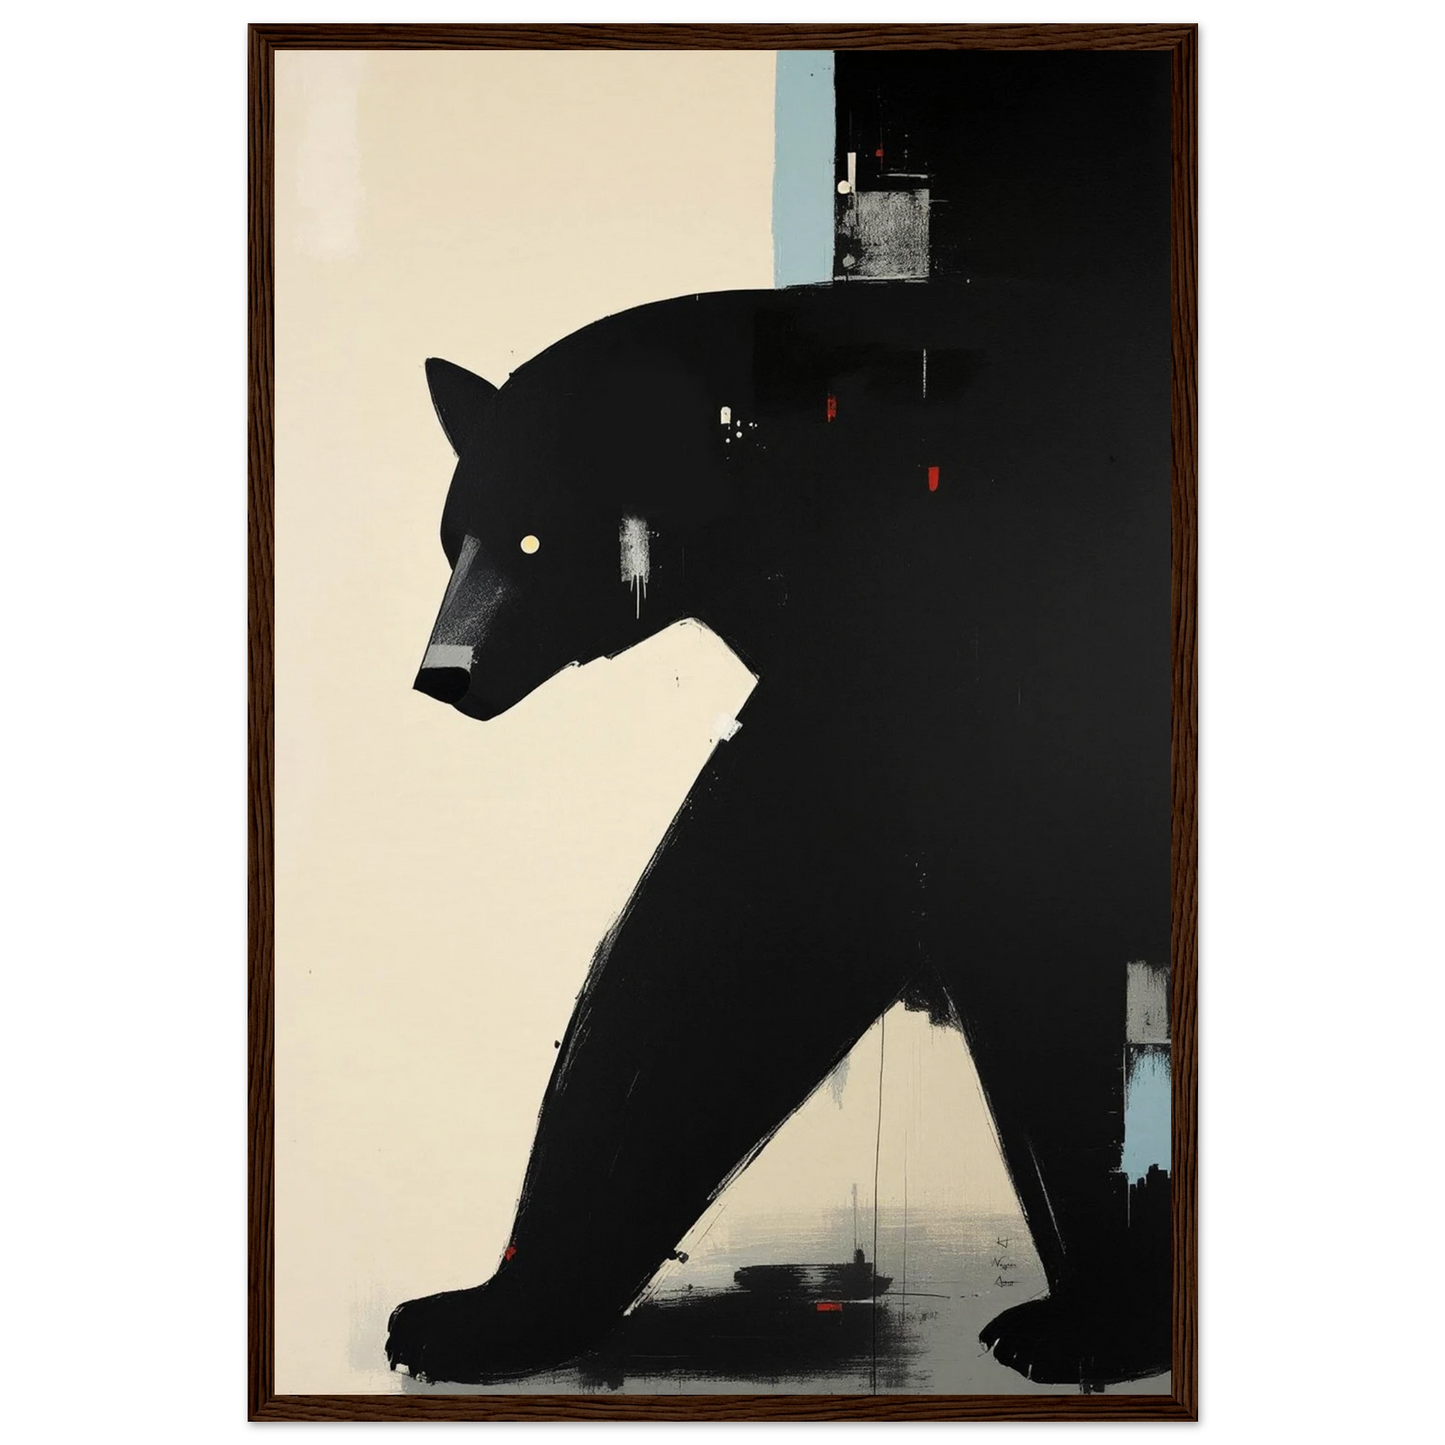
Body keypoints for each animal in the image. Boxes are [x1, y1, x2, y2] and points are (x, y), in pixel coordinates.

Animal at [386, 275, 1173, 1389]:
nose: (442, 672)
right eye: (454, 535)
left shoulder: (968, 663)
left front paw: (1098, 1317)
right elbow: (722, 957)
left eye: (532, 537)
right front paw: (485, 1310)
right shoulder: (862, 718)